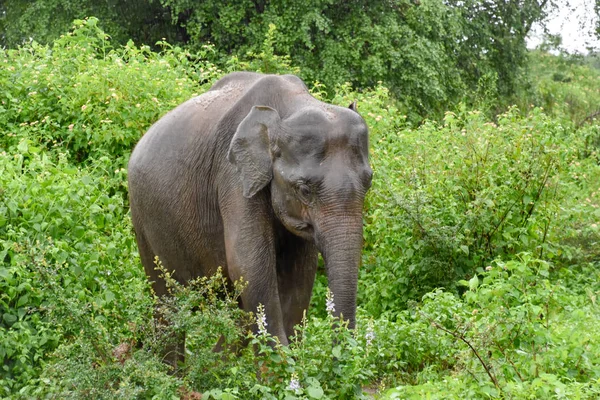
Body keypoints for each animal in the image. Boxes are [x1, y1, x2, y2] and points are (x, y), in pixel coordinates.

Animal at [127, 71, 370, 356]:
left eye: (368, 183)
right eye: (304, 190)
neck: (290, 106)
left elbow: (300, 272)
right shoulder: (233, 173)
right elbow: (248, 262)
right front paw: (281, 363)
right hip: (141, 214)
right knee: (166, 298)